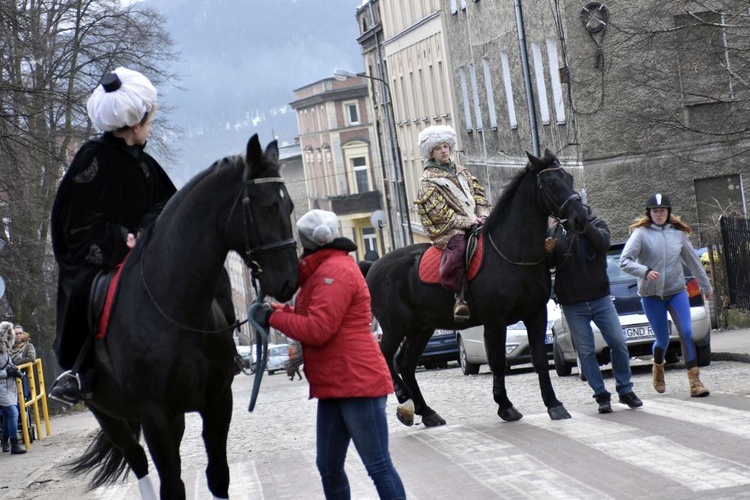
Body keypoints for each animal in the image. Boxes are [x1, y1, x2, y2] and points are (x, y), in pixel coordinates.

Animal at [66, 135, 298, 498]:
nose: (290, 280)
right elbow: (172, 485)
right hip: (108, 415)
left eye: (290, 207)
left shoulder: (216, 403)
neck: (173, 305)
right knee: (138, 460)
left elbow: (217, 475)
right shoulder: (155, 416)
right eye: (268, 208)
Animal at [368, 148, 592, 426]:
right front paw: (505, 406)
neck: (512, 252)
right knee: (387, 357)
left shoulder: (536, 315)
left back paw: (427, 412)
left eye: (569, 178)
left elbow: (540, 360)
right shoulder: (495, 321)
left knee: (405, 364)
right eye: (550, 183)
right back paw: (404, 401)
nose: (580, 218)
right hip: (395, 325)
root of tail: (373, 268)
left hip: (421, 327)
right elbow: (497, 362)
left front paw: (554, 405)